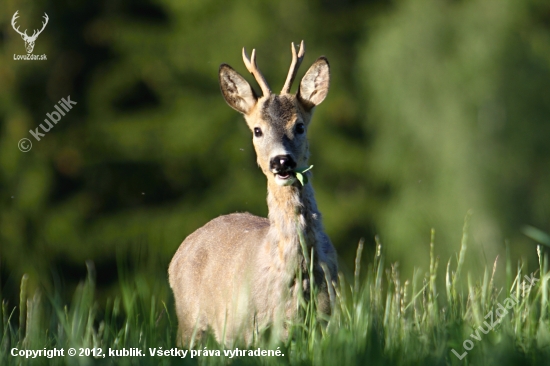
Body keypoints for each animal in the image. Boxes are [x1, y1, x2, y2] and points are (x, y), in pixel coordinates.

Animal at [170, 41, 338, 344]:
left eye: (300, 126)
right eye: (257, 130)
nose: (281, 161)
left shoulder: (327, 317)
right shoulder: (246, 329)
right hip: (189, 319)